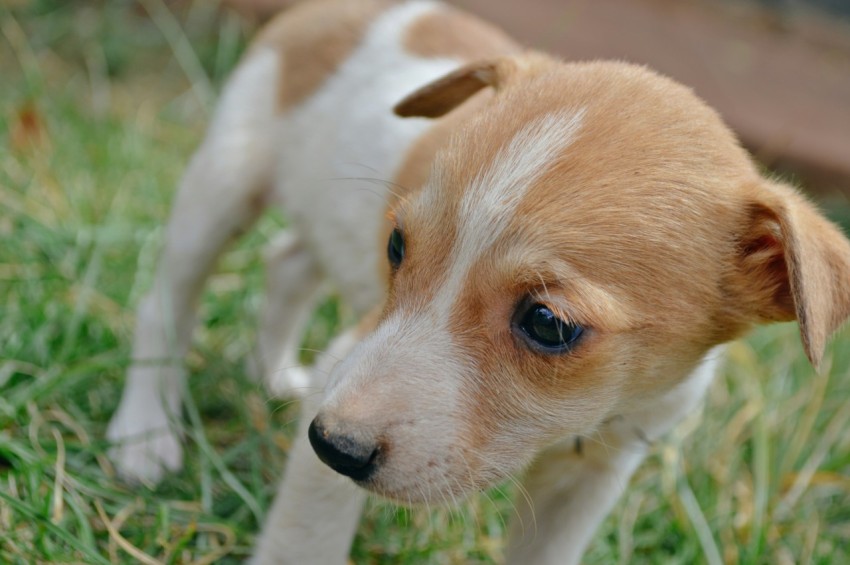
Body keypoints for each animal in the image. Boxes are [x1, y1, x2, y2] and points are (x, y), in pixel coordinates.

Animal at [104, 1, 848, 560]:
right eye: (398, 245)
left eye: (548, 324)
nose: (329, 442)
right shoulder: (344, 373)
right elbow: (303, 544)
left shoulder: (593, 475)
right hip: (224, 181)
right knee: (166, 304)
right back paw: (144, 434)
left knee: (285, 264)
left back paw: (272, 373)